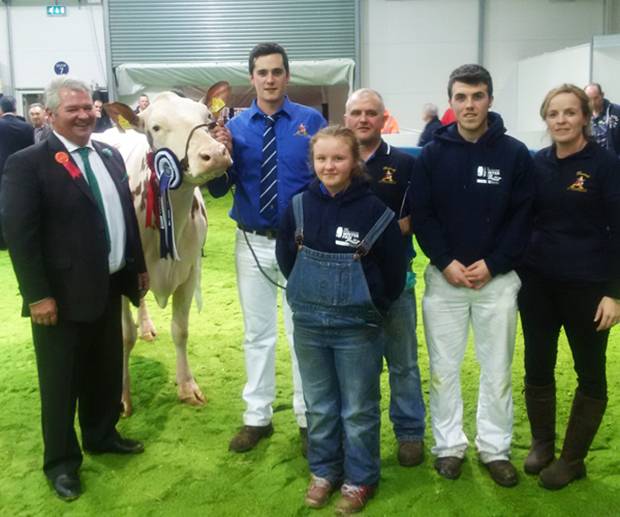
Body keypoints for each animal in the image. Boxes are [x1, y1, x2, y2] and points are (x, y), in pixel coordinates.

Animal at [98, 91, 230, 416]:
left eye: (208, 117)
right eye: (156, 127)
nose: (215, 154)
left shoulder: (190, 272)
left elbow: (180, 330)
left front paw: (187, 387)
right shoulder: (122, 276)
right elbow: (124, 336)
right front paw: (122, 397)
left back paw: (146, 326)